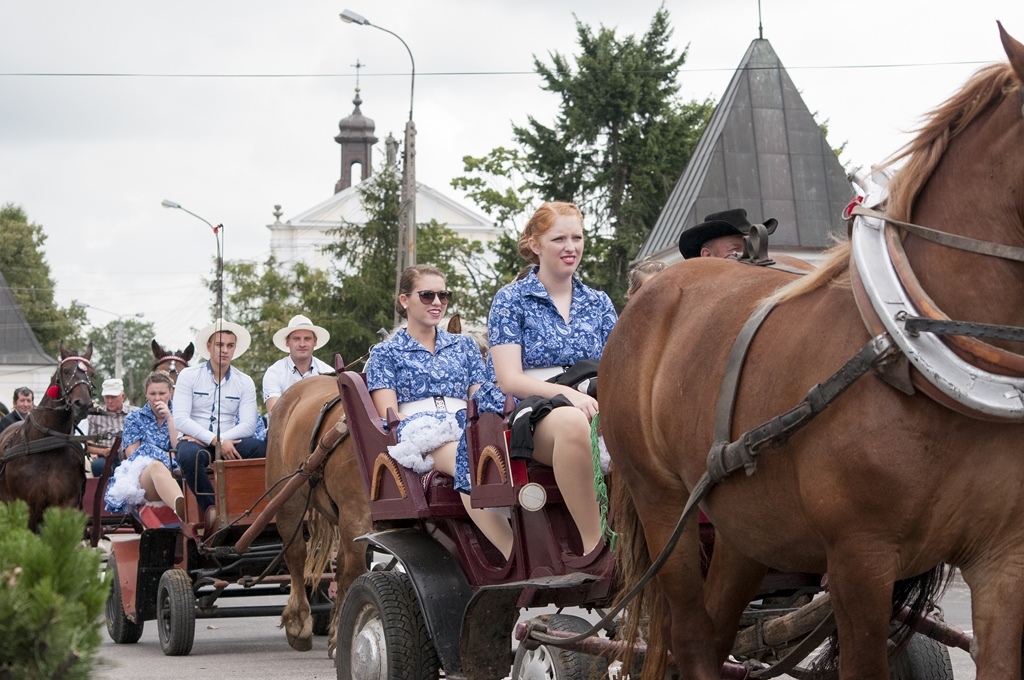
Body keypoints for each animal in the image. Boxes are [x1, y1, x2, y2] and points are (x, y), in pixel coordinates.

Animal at [0, 342, 95, 531]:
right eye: (66, 370)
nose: (83, 404)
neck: (47, 444)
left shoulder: (66, 504)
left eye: (91, 373)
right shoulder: (28, 505)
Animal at [601, 24, 1024, 680]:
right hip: (663, 504)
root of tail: (648, 296)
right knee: (691, 637)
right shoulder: (859, 559)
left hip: (743, 524)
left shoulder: (1003, 561)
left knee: (714, 632)